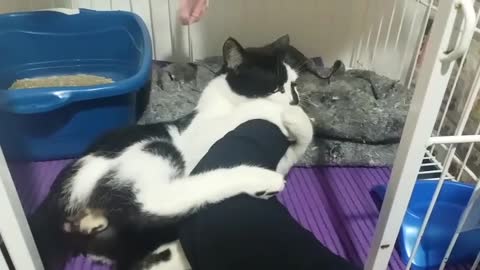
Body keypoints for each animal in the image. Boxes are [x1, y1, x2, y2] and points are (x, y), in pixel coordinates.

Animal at [31, 35, 316, 270]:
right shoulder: (202, 134)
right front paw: (286, 112)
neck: (225, 105)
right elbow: (256, 110)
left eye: (294, 85)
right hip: (157, 149)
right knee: (153, 202)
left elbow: (297, 146)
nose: (295, 99)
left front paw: (298, 120)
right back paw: (259, 179)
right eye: (276, 87)